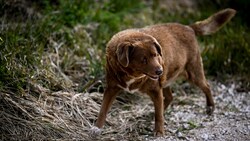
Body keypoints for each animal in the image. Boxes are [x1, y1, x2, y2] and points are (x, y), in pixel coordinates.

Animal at [92, 8, 236, 135]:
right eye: (143, 59)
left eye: (156, 55)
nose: (160, 71)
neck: (133, 75)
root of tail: (189, 27)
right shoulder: (111, 88)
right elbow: (103, 109)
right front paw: (97, 128)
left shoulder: (155, 90)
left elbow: (159, 116)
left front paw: (159, 132)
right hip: (166, 79)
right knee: (169, 98)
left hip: (193, 73)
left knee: (206, 86)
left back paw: (210, 107)